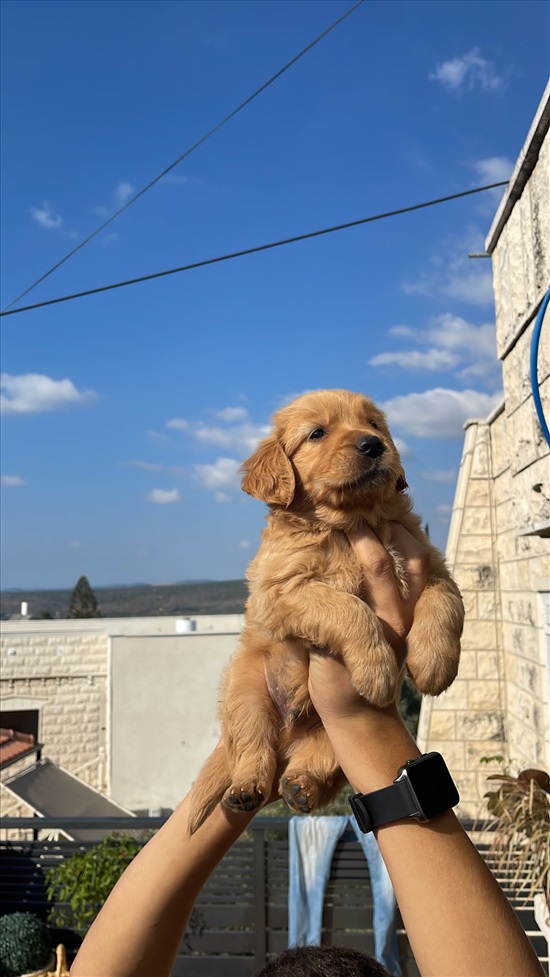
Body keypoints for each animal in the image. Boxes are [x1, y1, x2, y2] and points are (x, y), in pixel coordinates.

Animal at [188, 388, 464, 832]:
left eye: (374, 425)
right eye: (317, 433)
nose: (373, 445)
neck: (348, 523)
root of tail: (289, 735)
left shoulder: (434, 566)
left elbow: (443, 602)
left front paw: (435, 663)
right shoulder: (280, 590)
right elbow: (348, 606)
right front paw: (377, 670)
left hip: (327, 734)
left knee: (319, 761)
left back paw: (301, 785)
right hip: (246, 693)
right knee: (251, 747)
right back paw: (245, 788)